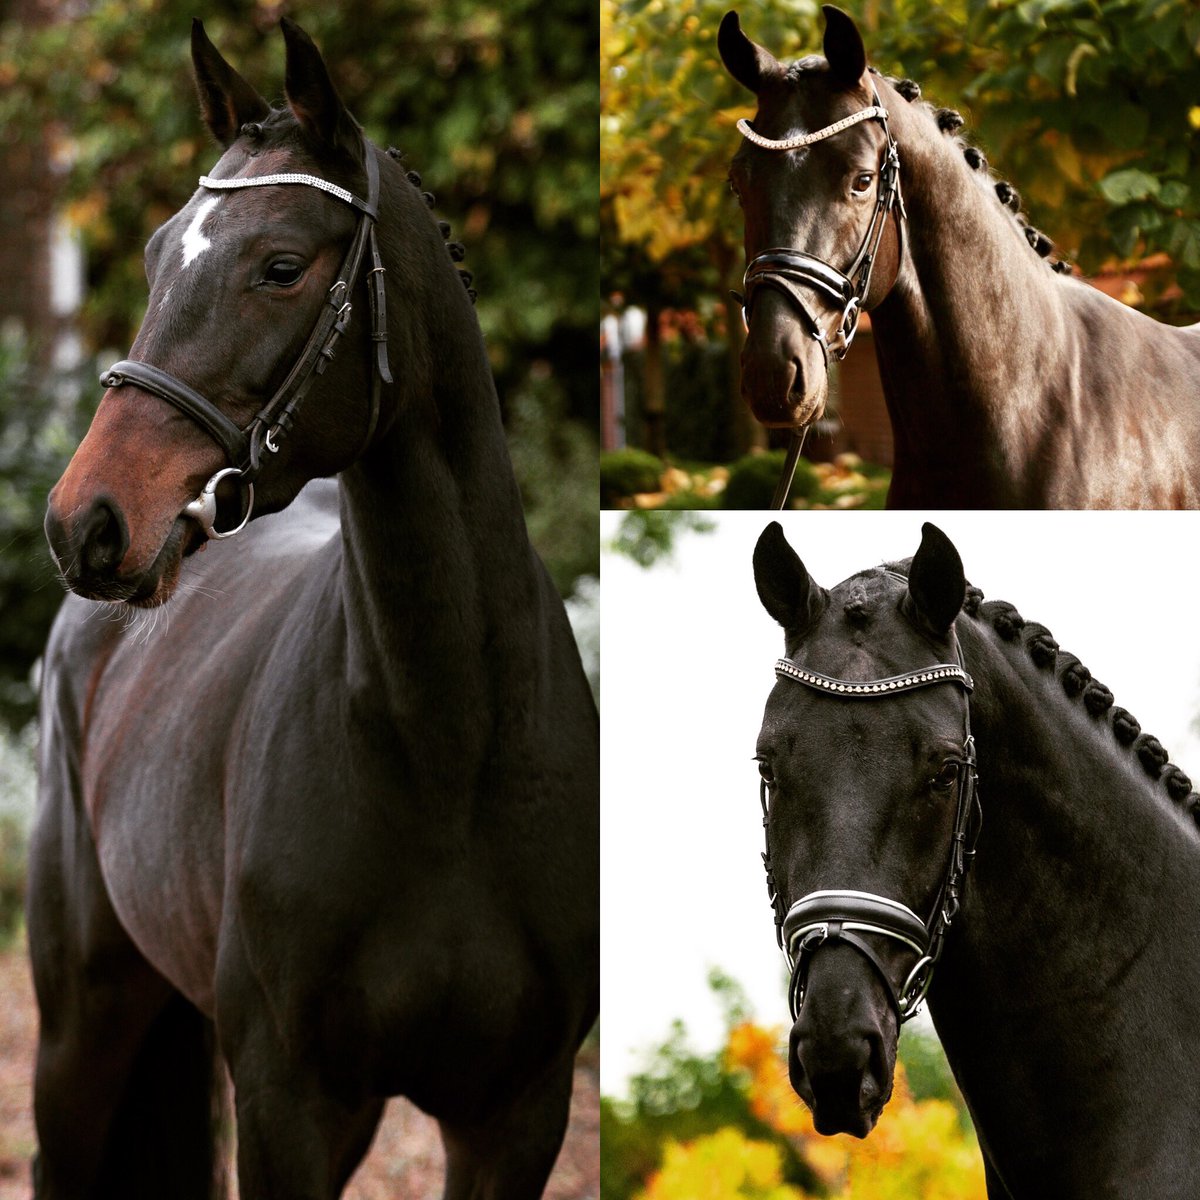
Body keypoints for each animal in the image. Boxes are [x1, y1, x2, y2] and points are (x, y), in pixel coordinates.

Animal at [31, 19, 598, 1199]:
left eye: (281, 267)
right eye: (155, 256)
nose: (84, 523)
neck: (449, 753)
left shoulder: (514, 1117)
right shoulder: (286, 1101)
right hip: (81, 1028)